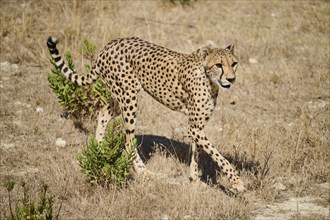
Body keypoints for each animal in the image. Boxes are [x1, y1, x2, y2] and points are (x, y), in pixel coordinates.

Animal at [47, 36, 246, 192]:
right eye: (219, 65)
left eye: (234, 64)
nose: (231, 79)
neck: (209, 79)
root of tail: (109, 45)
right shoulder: (195, 127)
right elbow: (218, 156)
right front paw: (237, 182)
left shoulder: (196, 125)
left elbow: (196, 152)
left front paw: (195, 179)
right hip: (129, 98)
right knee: (128, 141)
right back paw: (142, 171)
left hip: (120, 97)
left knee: (103, 112)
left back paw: (100, 149)